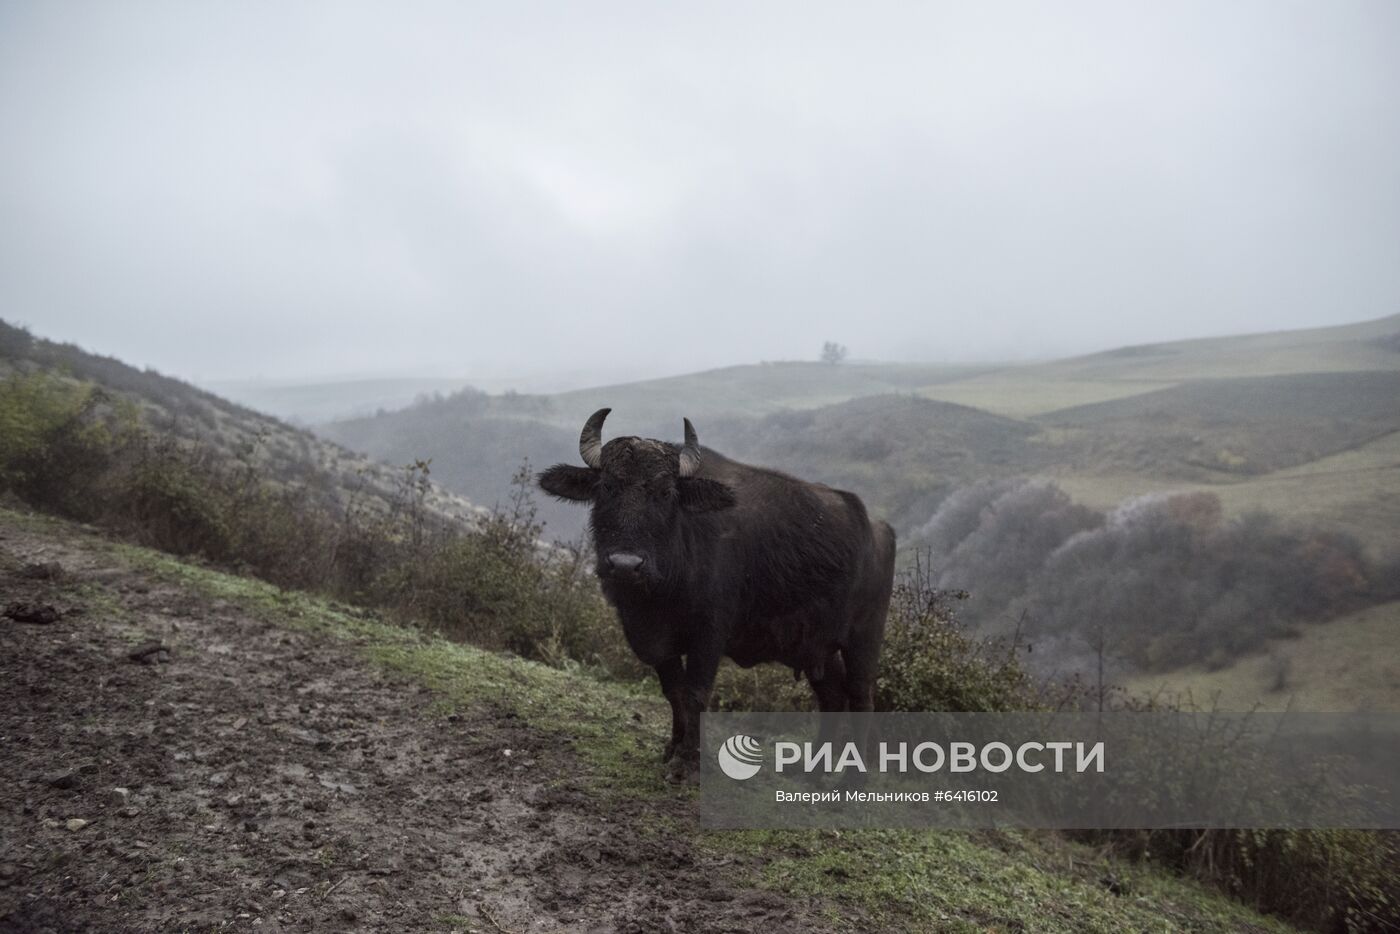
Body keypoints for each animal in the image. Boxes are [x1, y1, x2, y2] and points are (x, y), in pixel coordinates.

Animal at [534, 408, 896, 784]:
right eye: (607, 487)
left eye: (666, 493)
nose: (624, 564)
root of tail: (878, 528)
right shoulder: (656, 639)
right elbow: (674, 692)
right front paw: (673, 748)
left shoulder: (709, 635)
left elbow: (695, 694)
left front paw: (688, 762)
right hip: (816, 646)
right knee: (833, 696)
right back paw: (813, 769)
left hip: (864, 637)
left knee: (861, 696)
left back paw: (850, 780)